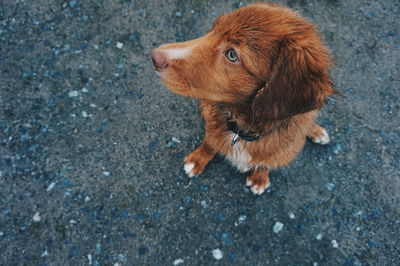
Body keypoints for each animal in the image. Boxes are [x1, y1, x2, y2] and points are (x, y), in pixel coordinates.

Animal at [152, 3, 336, 195]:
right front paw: (197, 159)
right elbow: (209, 141)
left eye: (232, 55)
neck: (242, 131)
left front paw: (260, 177)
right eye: (213, 29)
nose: (154, 56)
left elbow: (267, 161)